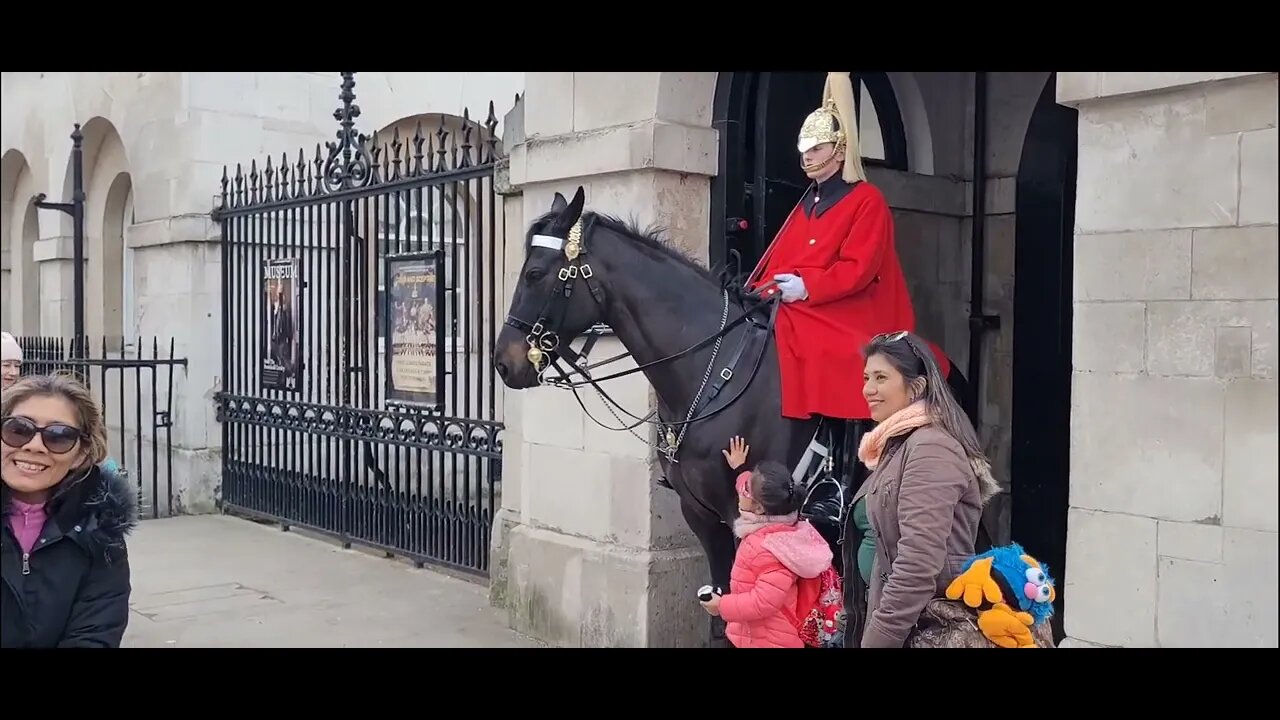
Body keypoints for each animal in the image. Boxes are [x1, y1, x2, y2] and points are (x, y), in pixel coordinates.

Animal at [488, 185, 967, 645]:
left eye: (534, 274)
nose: (503, 363)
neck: (711, 369)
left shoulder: (745, 511)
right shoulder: (700, 513)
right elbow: (722, 605)